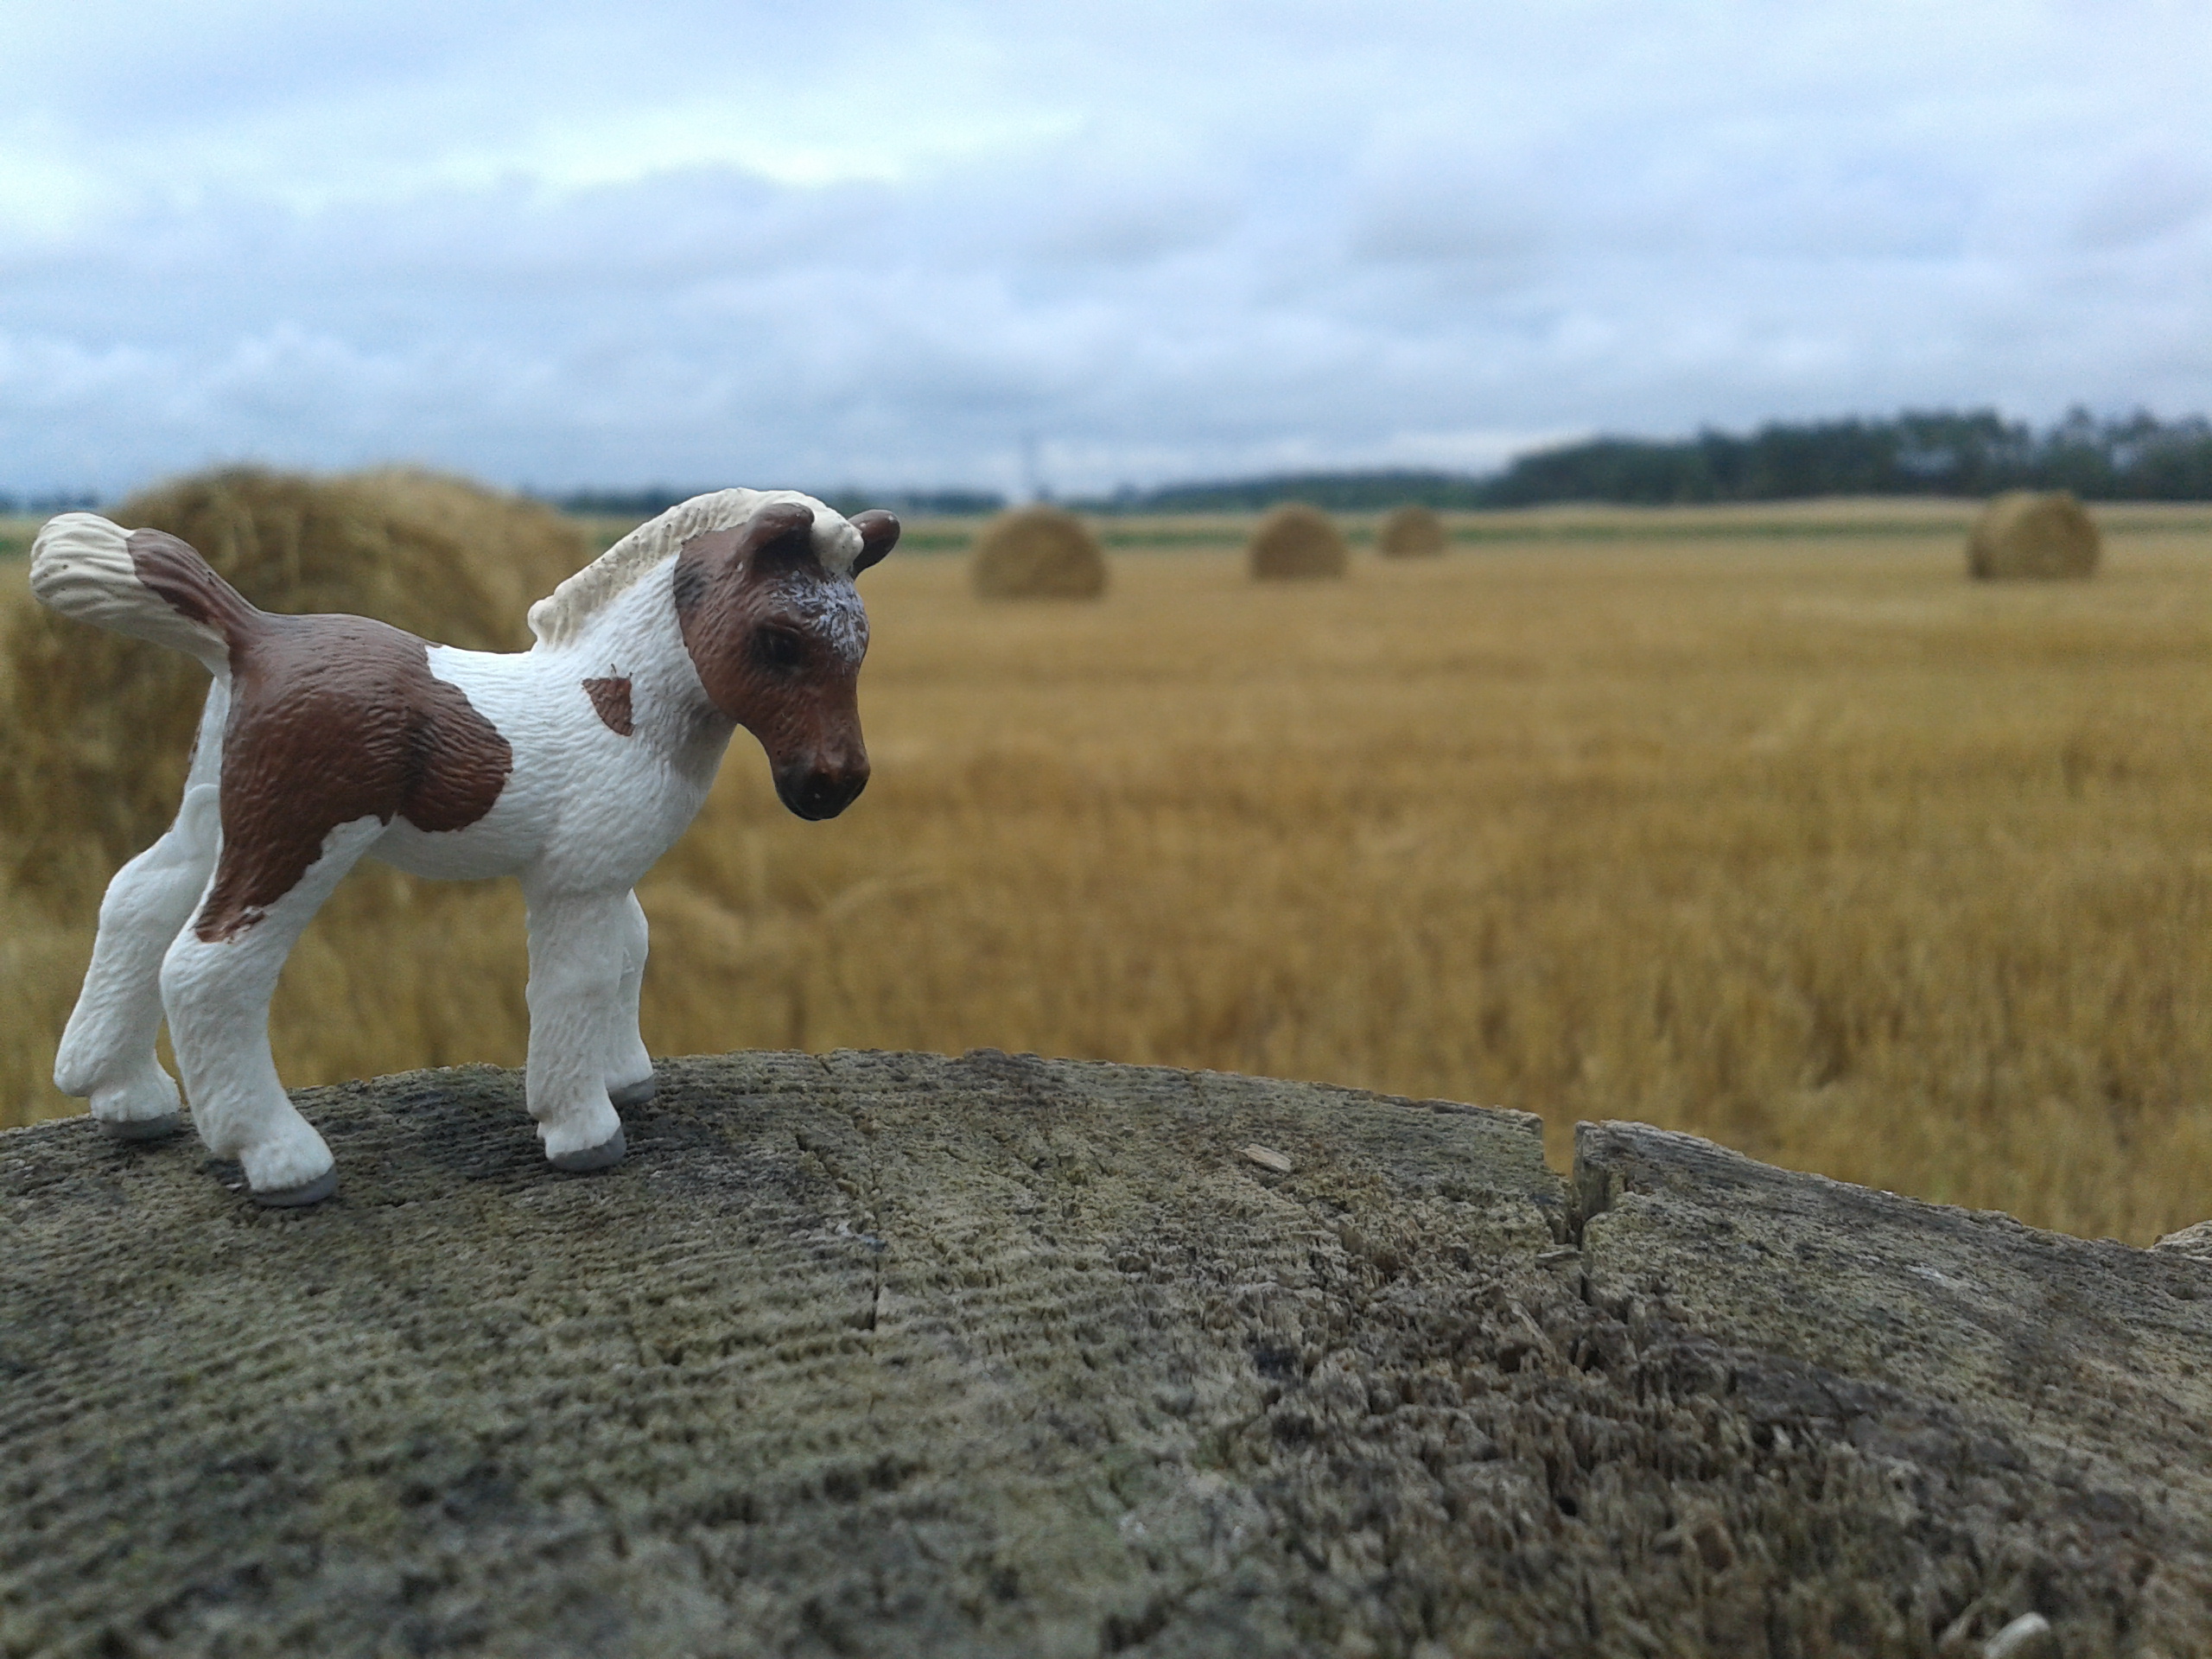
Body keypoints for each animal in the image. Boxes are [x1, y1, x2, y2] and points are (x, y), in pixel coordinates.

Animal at [26, 491, 889, 1211]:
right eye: (779, 640)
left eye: (861, 644)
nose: (834, 785)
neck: (619, 703)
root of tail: (253, 634)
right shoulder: (574, 882)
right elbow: (576, 980)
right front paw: (582, 1128)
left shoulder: (606, 868)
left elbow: (630, 953)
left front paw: (624, 1078)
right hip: (300, 834)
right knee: (208, 967)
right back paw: (281, 1158)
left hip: (217, 810)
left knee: (136, 901)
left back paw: (124, 1094)